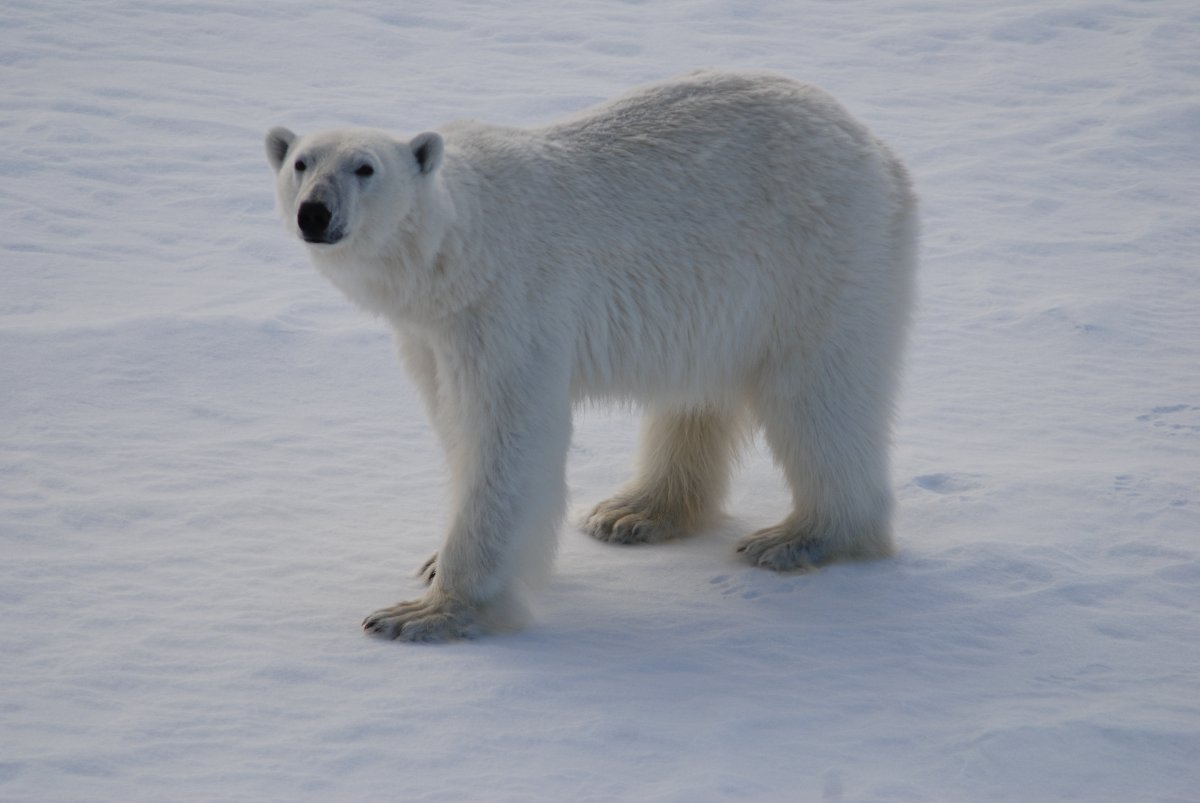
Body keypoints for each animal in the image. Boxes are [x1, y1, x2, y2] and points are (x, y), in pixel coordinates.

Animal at [267, 72, 912, 643]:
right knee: (698, 396)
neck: (458, 250)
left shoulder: (510, 308)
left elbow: (506, 435)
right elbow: (456, 426)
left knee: (819, 396)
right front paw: (432, 563)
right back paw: (633, 513)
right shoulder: (432, 335)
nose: (314, 213)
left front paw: (425, 612)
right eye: (301, 162)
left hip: (816, 258)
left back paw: (798, 538)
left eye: (365, 167)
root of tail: (879, 150)